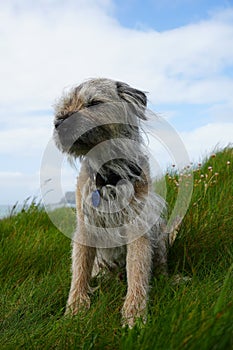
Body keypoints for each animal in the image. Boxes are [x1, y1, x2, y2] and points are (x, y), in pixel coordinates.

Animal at [53, 78, 168, 326]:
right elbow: (80, 268)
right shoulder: (85, 226)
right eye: (64, 107)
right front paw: (75, 308)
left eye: (93, 103)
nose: (58, 122)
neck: (109, 173)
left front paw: (134, 313)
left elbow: (137, 268)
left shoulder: (138, 223)